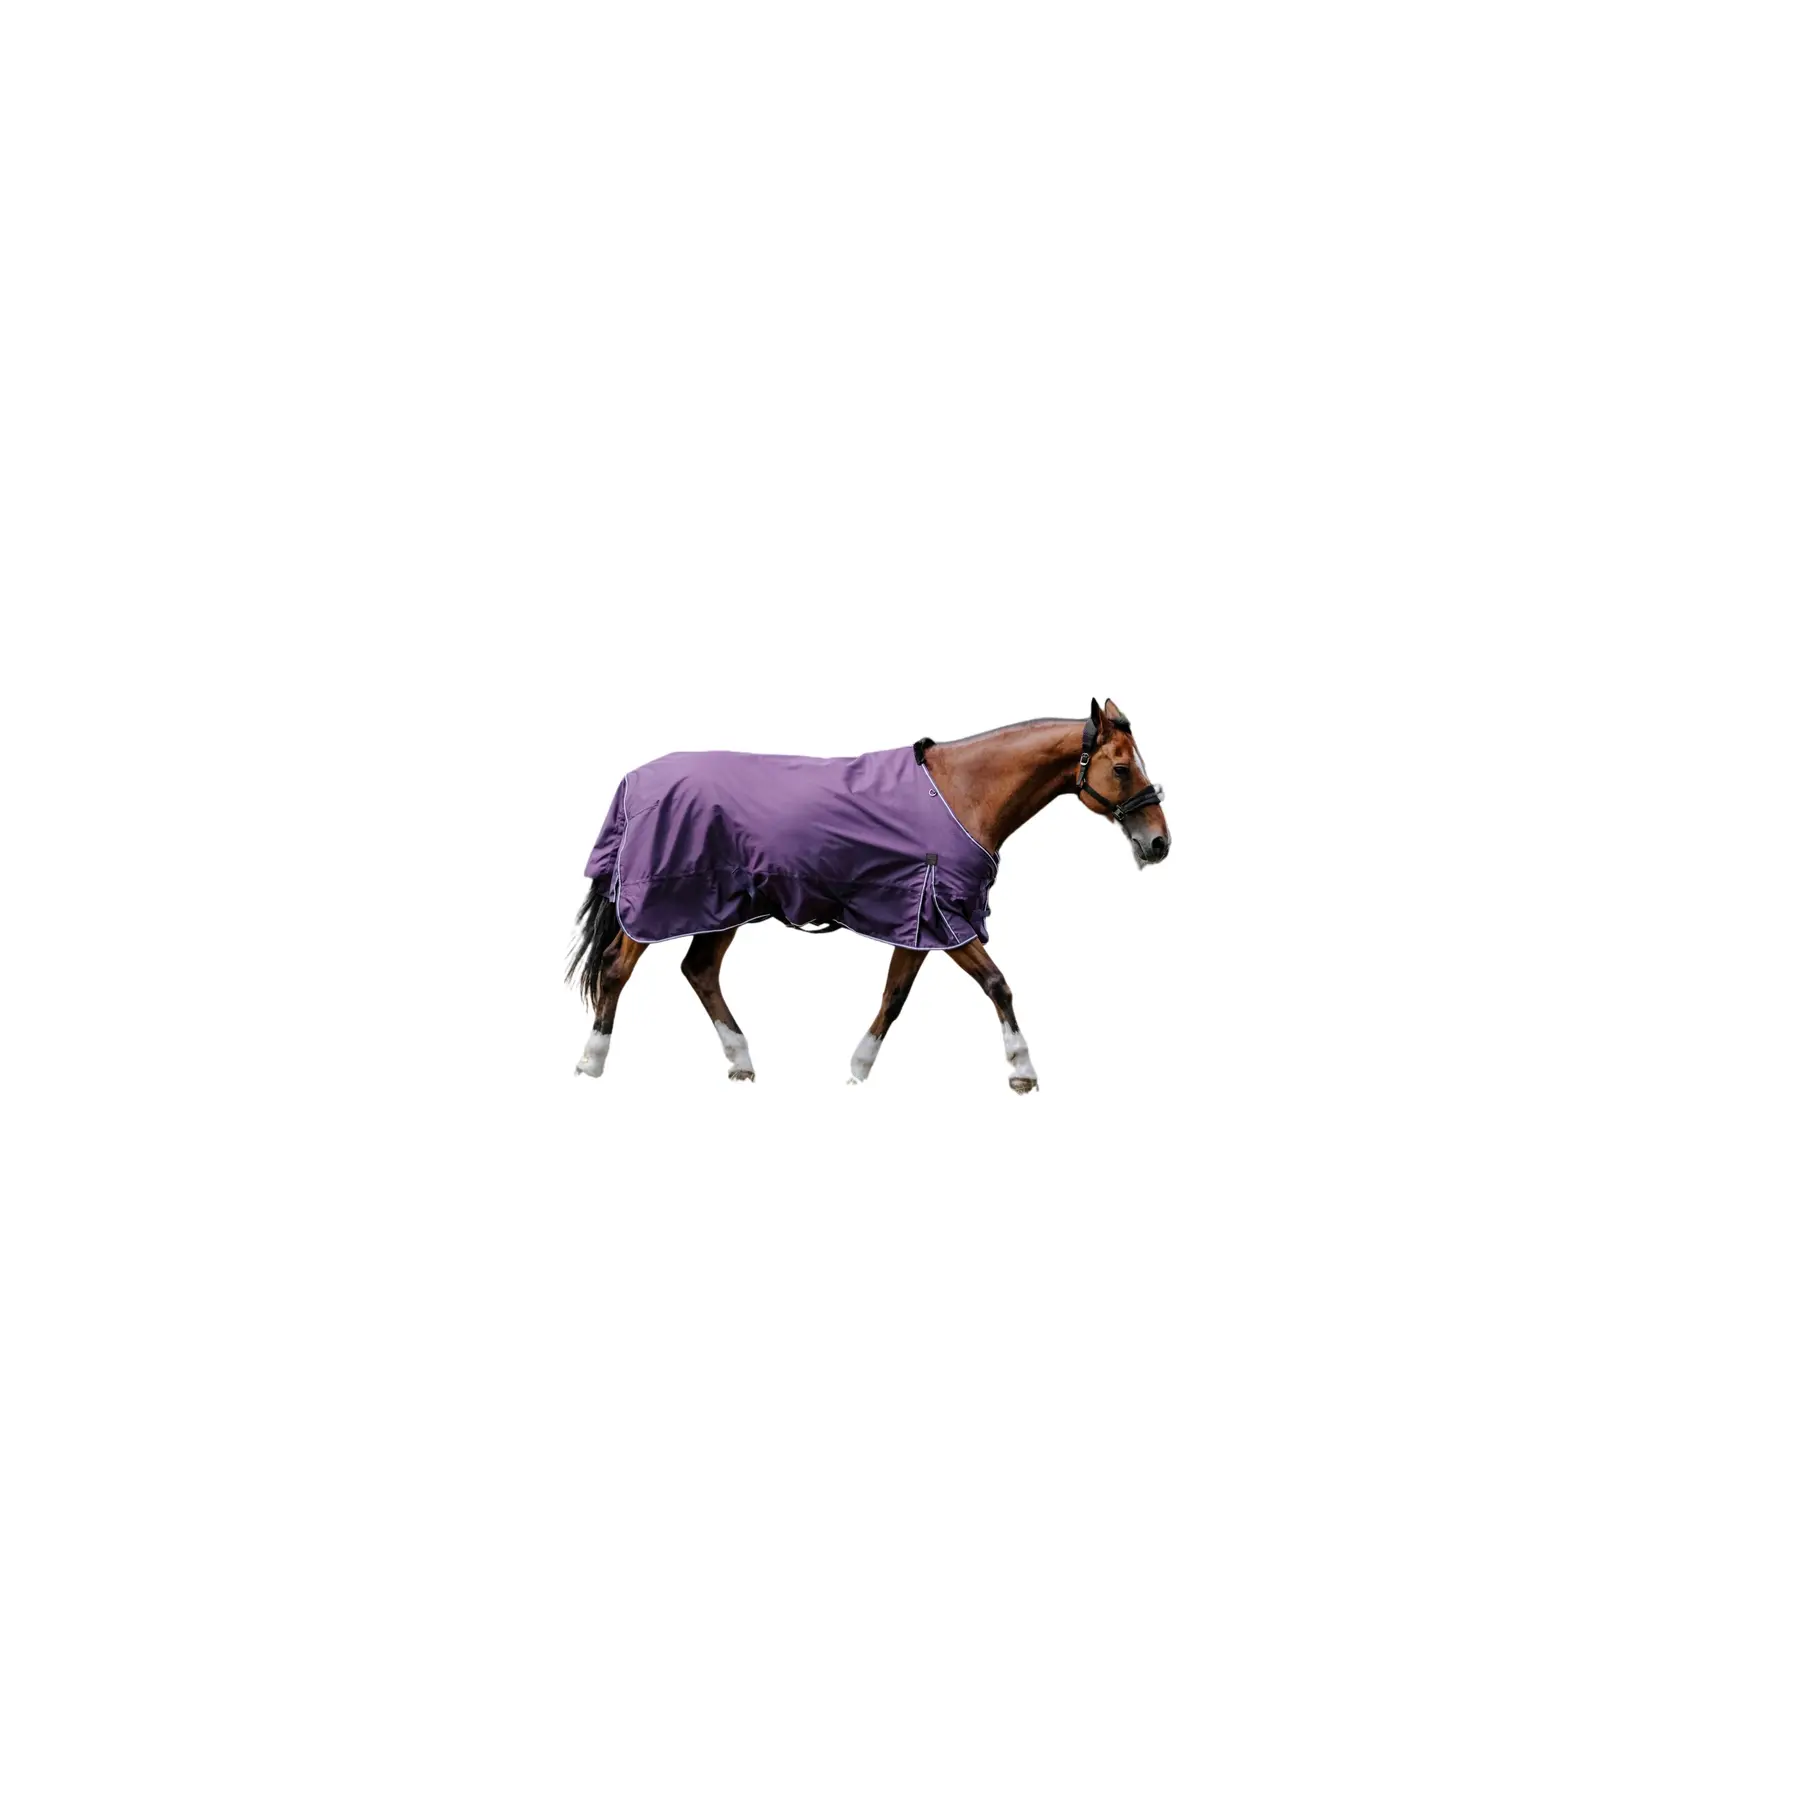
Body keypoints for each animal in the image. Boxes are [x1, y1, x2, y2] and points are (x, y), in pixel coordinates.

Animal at [566, 698, 1170, 1092]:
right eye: (1122, 767)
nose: (1159, 842)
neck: (963, 792)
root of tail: (634, 783)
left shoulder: (920, 919)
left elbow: (894, 995)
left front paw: (858, 1069)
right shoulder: (946, 916)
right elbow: (997, 984)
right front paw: (1022, 1070)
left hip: (725, 907)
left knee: (699, 971)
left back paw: (741, 1061)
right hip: (658, 904)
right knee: (617, 969)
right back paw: (591, 1062)